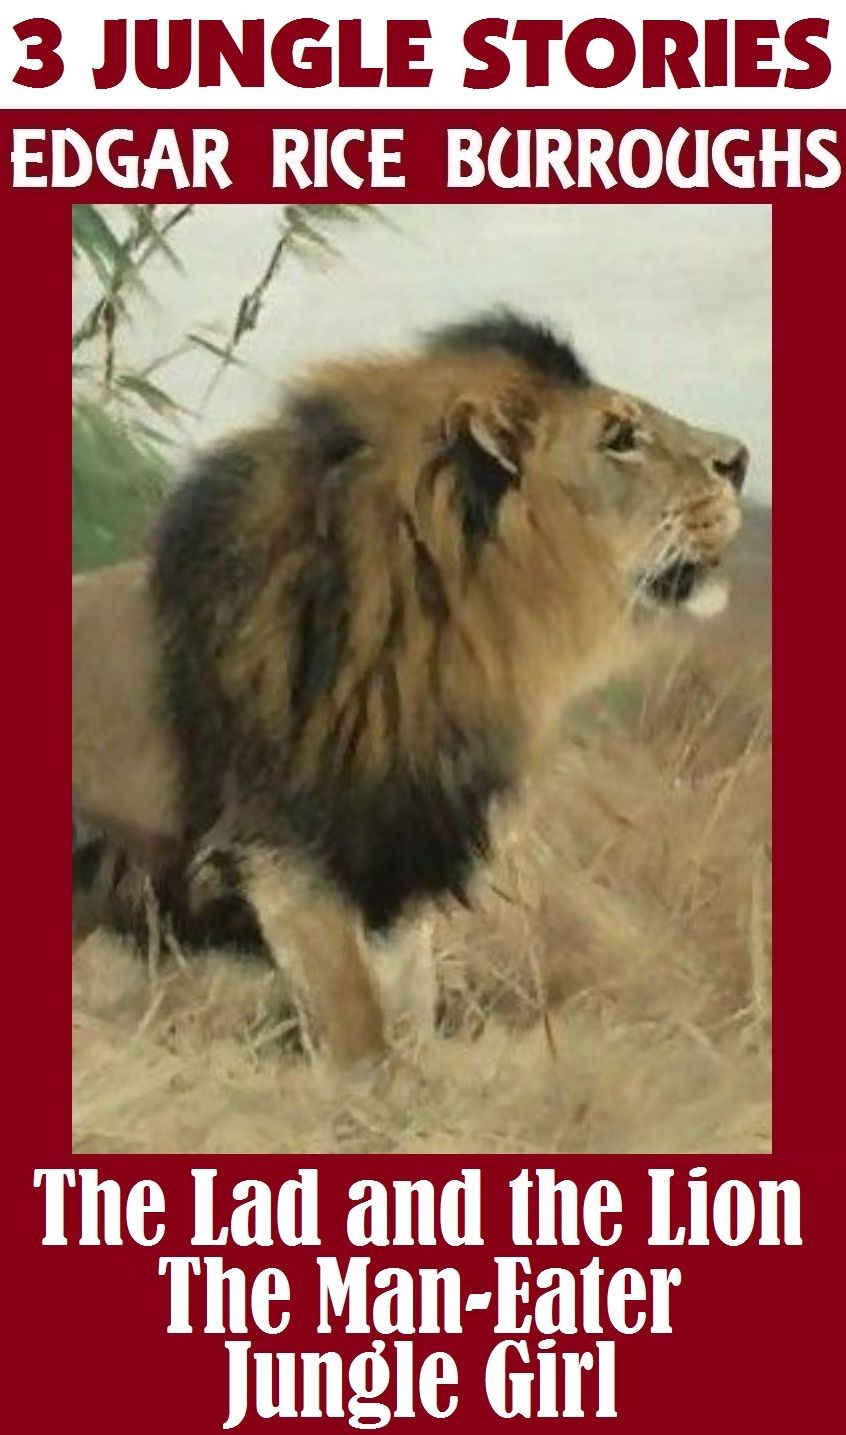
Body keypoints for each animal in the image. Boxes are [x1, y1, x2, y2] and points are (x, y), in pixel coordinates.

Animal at [72, 310, 748, 1063]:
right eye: (620, 438)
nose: (742, 459)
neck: (463, 630)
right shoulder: (284, 849)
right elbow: (357, 1023)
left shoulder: (399, 860)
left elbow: (411, 1008)